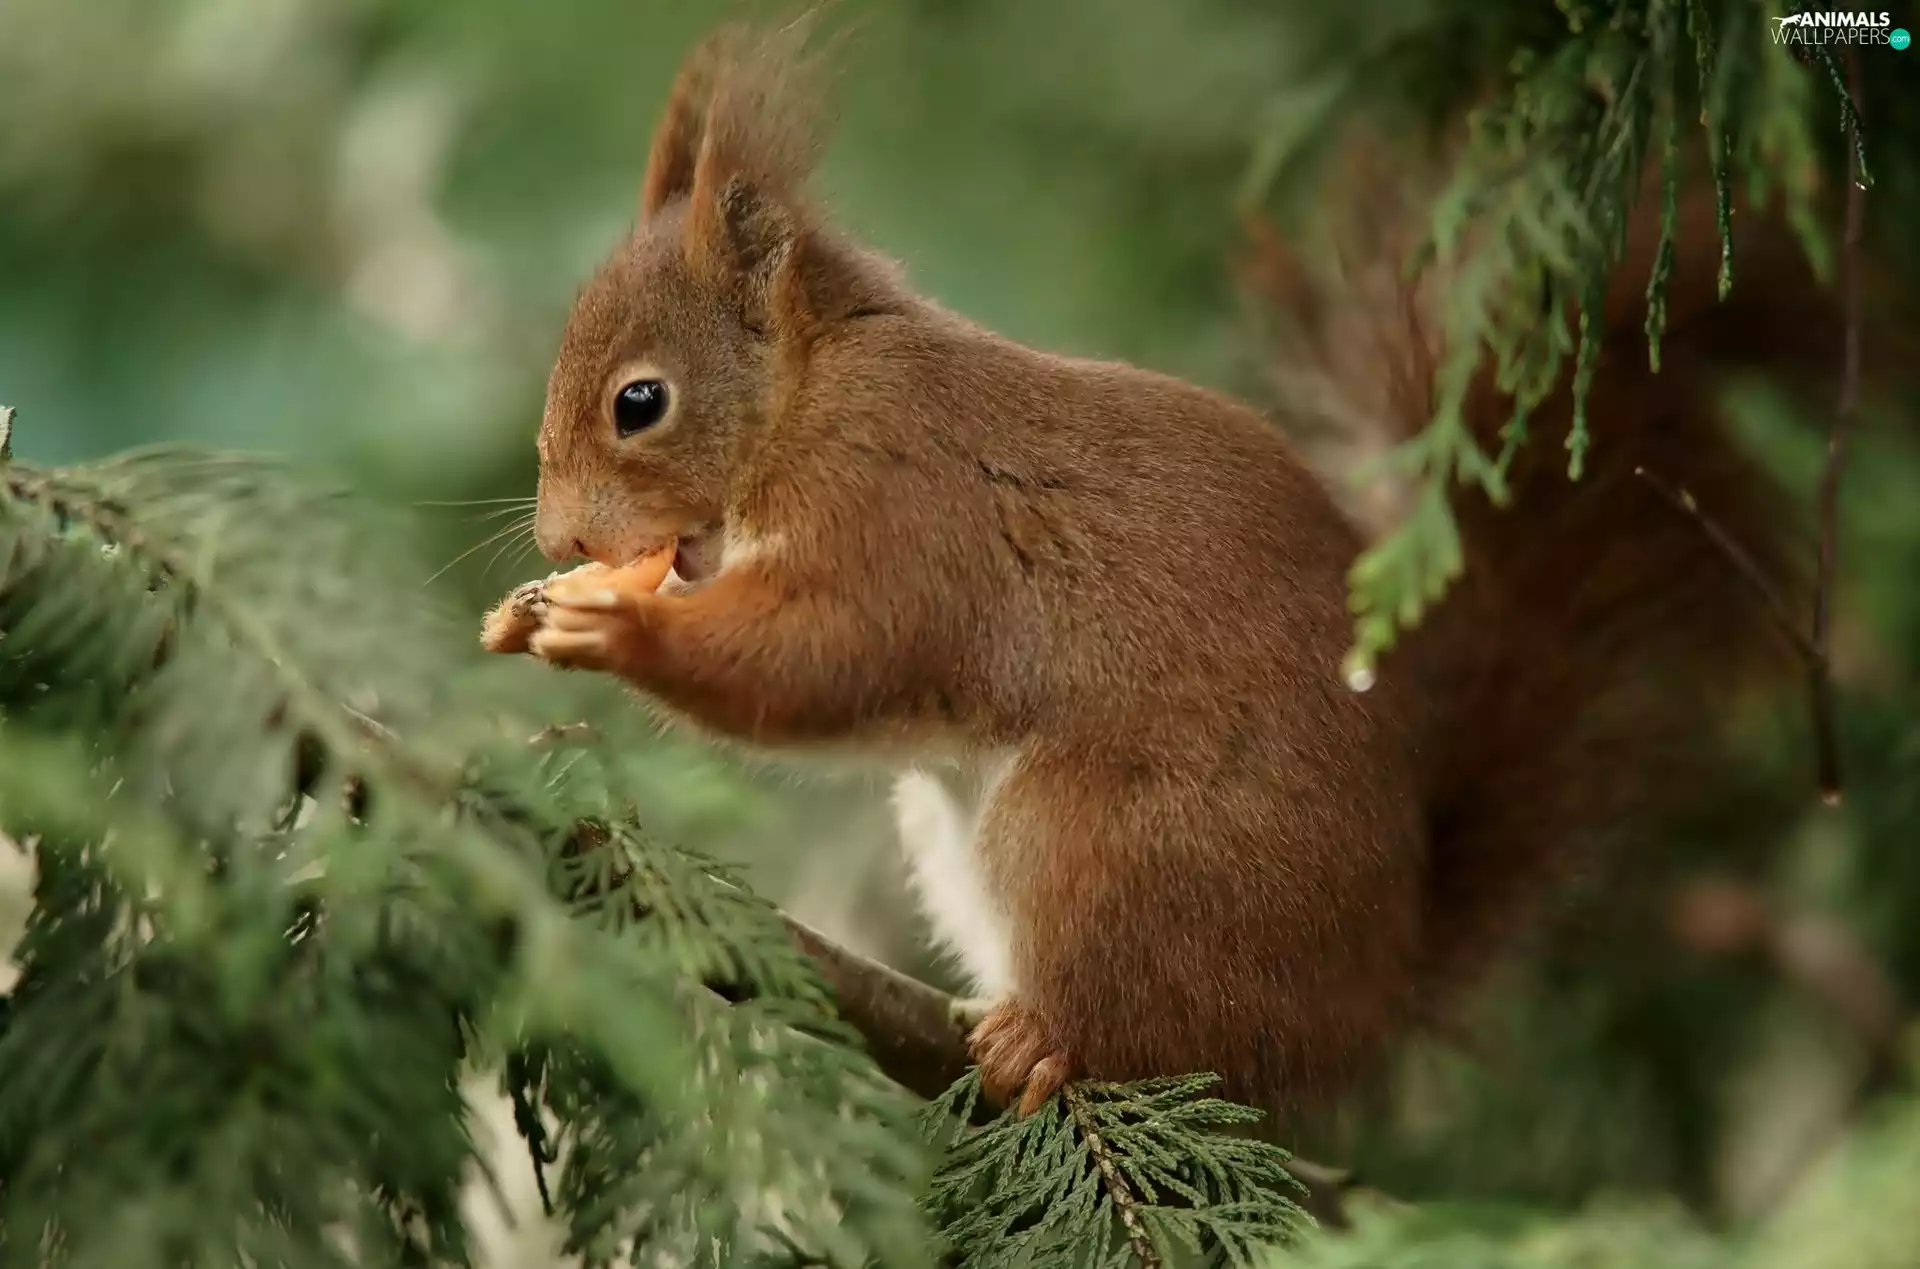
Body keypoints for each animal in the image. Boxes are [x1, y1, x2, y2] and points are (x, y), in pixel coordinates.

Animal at [482, 22, 1849, 1118]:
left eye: (640, 403)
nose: (559, 541)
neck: (809, 397)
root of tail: (1374, 994)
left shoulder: (900, 511)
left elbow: (825, 657)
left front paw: (613, 632)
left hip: (1103, 846)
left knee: (1164, 1033)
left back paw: (1049, 1042)